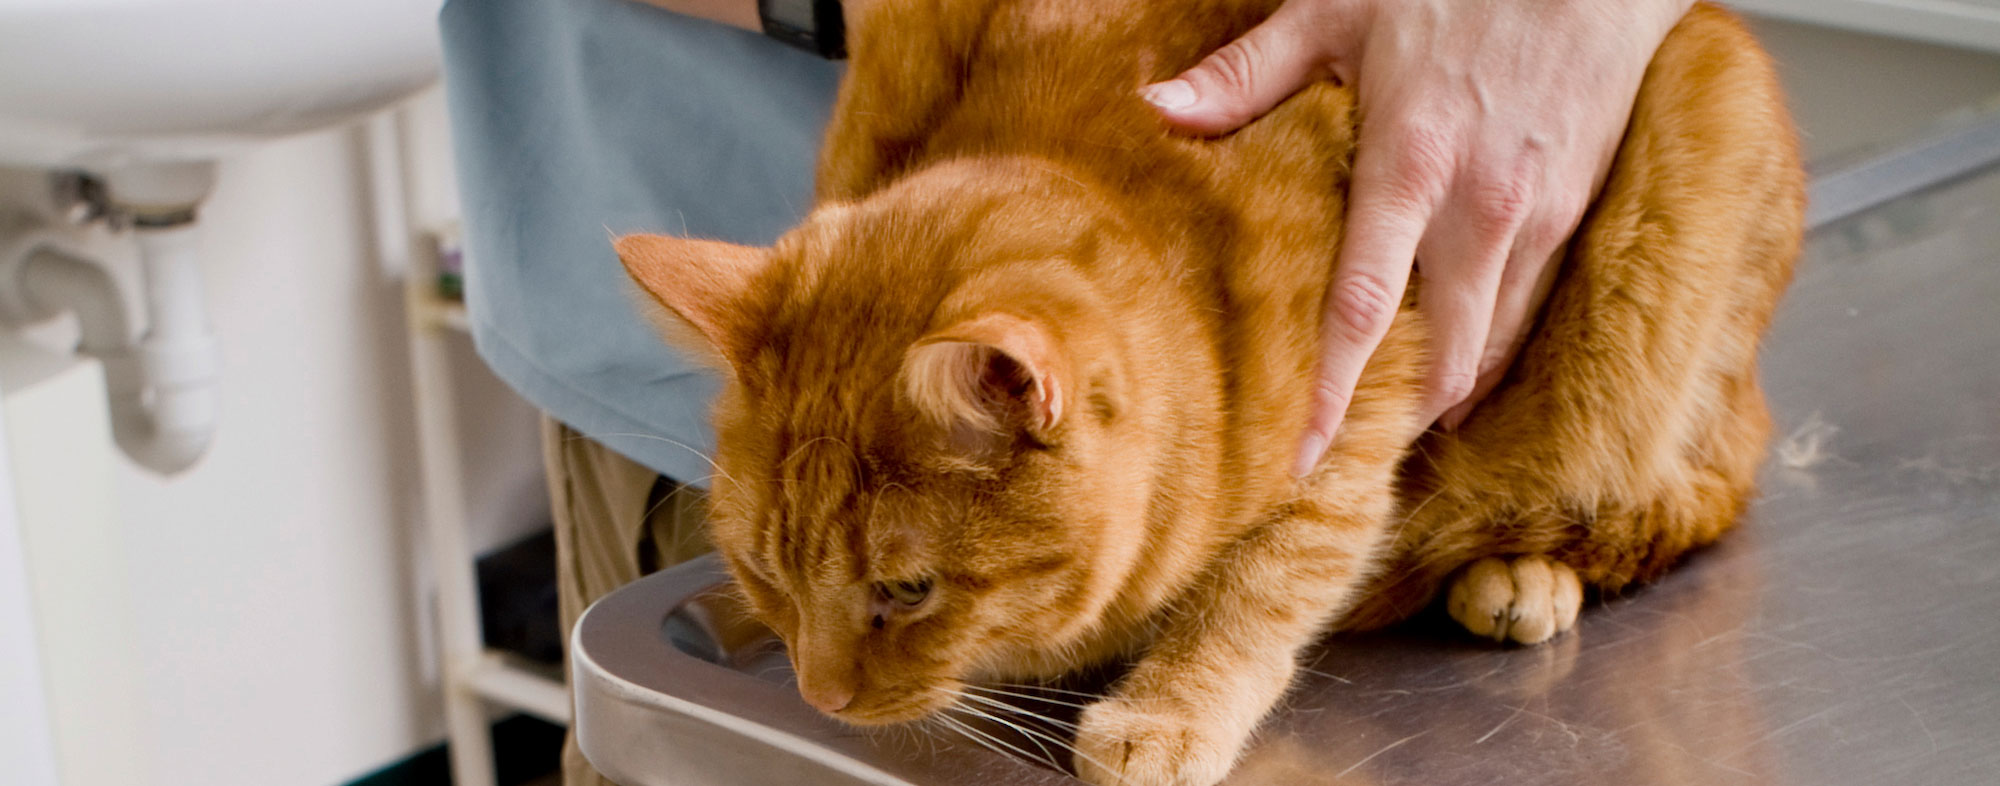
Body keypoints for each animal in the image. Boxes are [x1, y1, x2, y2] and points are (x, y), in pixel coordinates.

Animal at [608, 0, 1800, 780]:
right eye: (763, 574)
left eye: (907, 592)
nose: (821, 697)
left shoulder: (1362, 392)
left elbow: (1267, 577)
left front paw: (1166, 714)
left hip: (1689, 167)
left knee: (1672, 500)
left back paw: (1524, 573)